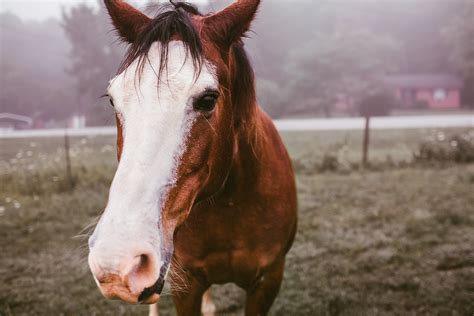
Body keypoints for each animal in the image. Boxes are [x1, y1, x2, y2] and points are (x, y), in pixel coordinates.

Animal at [88, 1, 296, 314]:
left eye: (209, 98)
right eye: (113, 99)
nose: (118, 261)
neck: (229, 205)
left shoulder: (268, 281)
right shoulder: (186, 286)